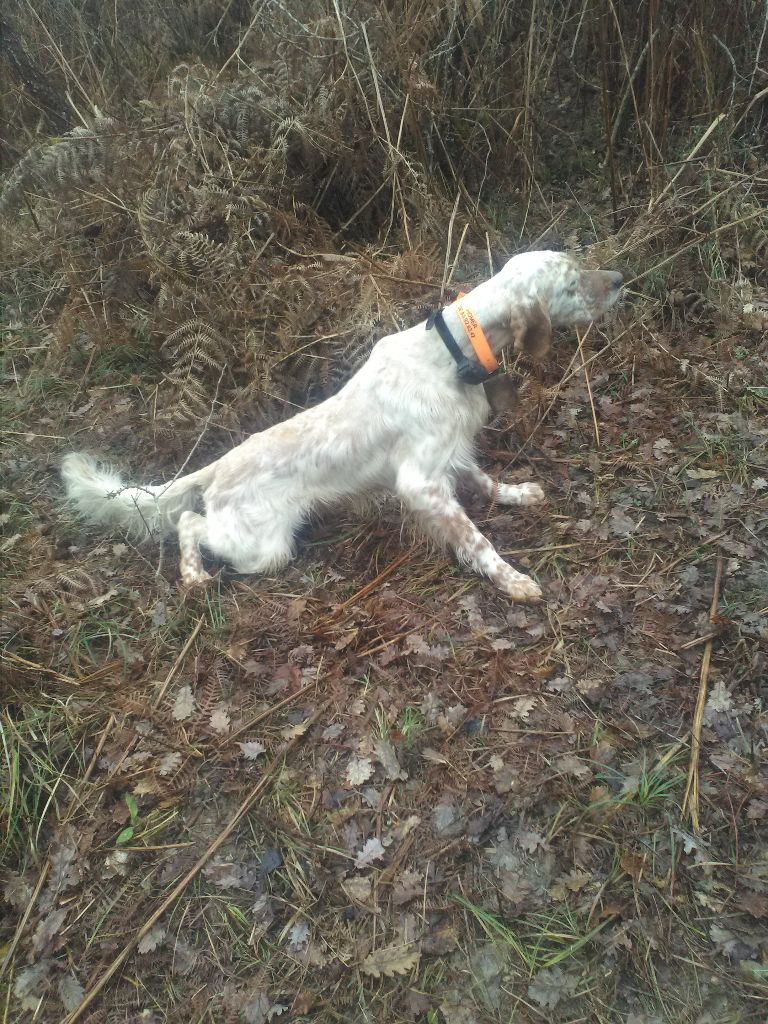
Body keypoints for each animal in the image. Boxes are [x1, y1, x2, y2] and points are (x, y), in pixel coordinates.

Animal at [61, 249, 626, 598]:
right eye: (573, 281)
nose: (621, 280)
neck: (451, 352)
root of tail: (220, 465)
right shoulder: (421, 482)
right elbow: (476, 540)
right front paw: (511, 580)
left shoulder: (447, 453)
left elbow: (485, 481)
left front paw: (518, 494)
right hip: (263, 547)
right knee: (188, 522)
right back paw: (194, 574)